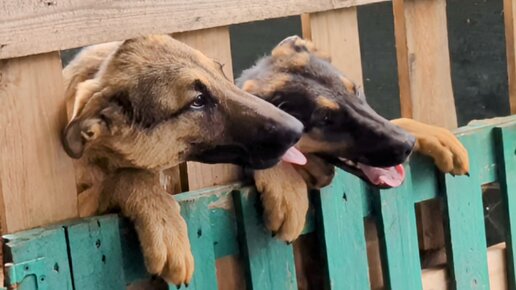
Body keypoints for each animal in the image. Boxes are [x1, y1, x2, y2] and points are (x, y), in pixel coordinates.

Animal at [63, 34, 306, 286]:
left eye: (221, 72)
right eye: (198, 101)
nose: (299, 130)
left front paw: (285, 182)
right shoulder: (81, 208)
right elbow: (131, 176)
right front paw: (164, 223)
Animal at [236, 36, 470, 244]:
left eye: (356, 90)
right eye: (325, 118)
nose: (408, 145)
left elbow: (397, 120)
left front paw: (437, 136)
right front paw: (287, 190)